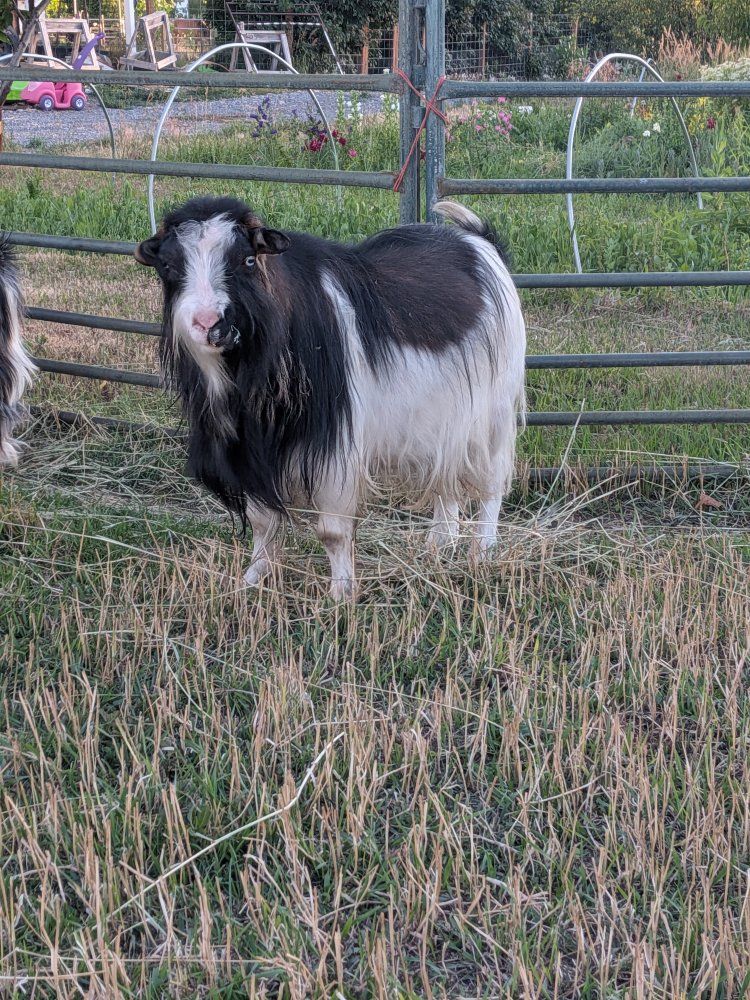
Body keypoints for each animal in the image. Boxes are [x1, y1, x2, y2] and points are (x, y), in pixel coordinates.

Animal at [136, 197, 526, 598]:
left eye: (246, 259)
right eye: (168, 266)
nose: (208, 323)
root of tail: (480, 241)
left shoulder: (336, 448)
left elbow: (332, 532)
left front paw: (341, 595)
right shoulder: (254, 452)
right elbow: (262, 522)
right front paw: (252, 580)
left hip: (494, 415)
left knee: (491, 484)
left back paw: (482, 553)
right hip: (448, 422)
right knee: (446, 483)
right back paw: (436, 548)